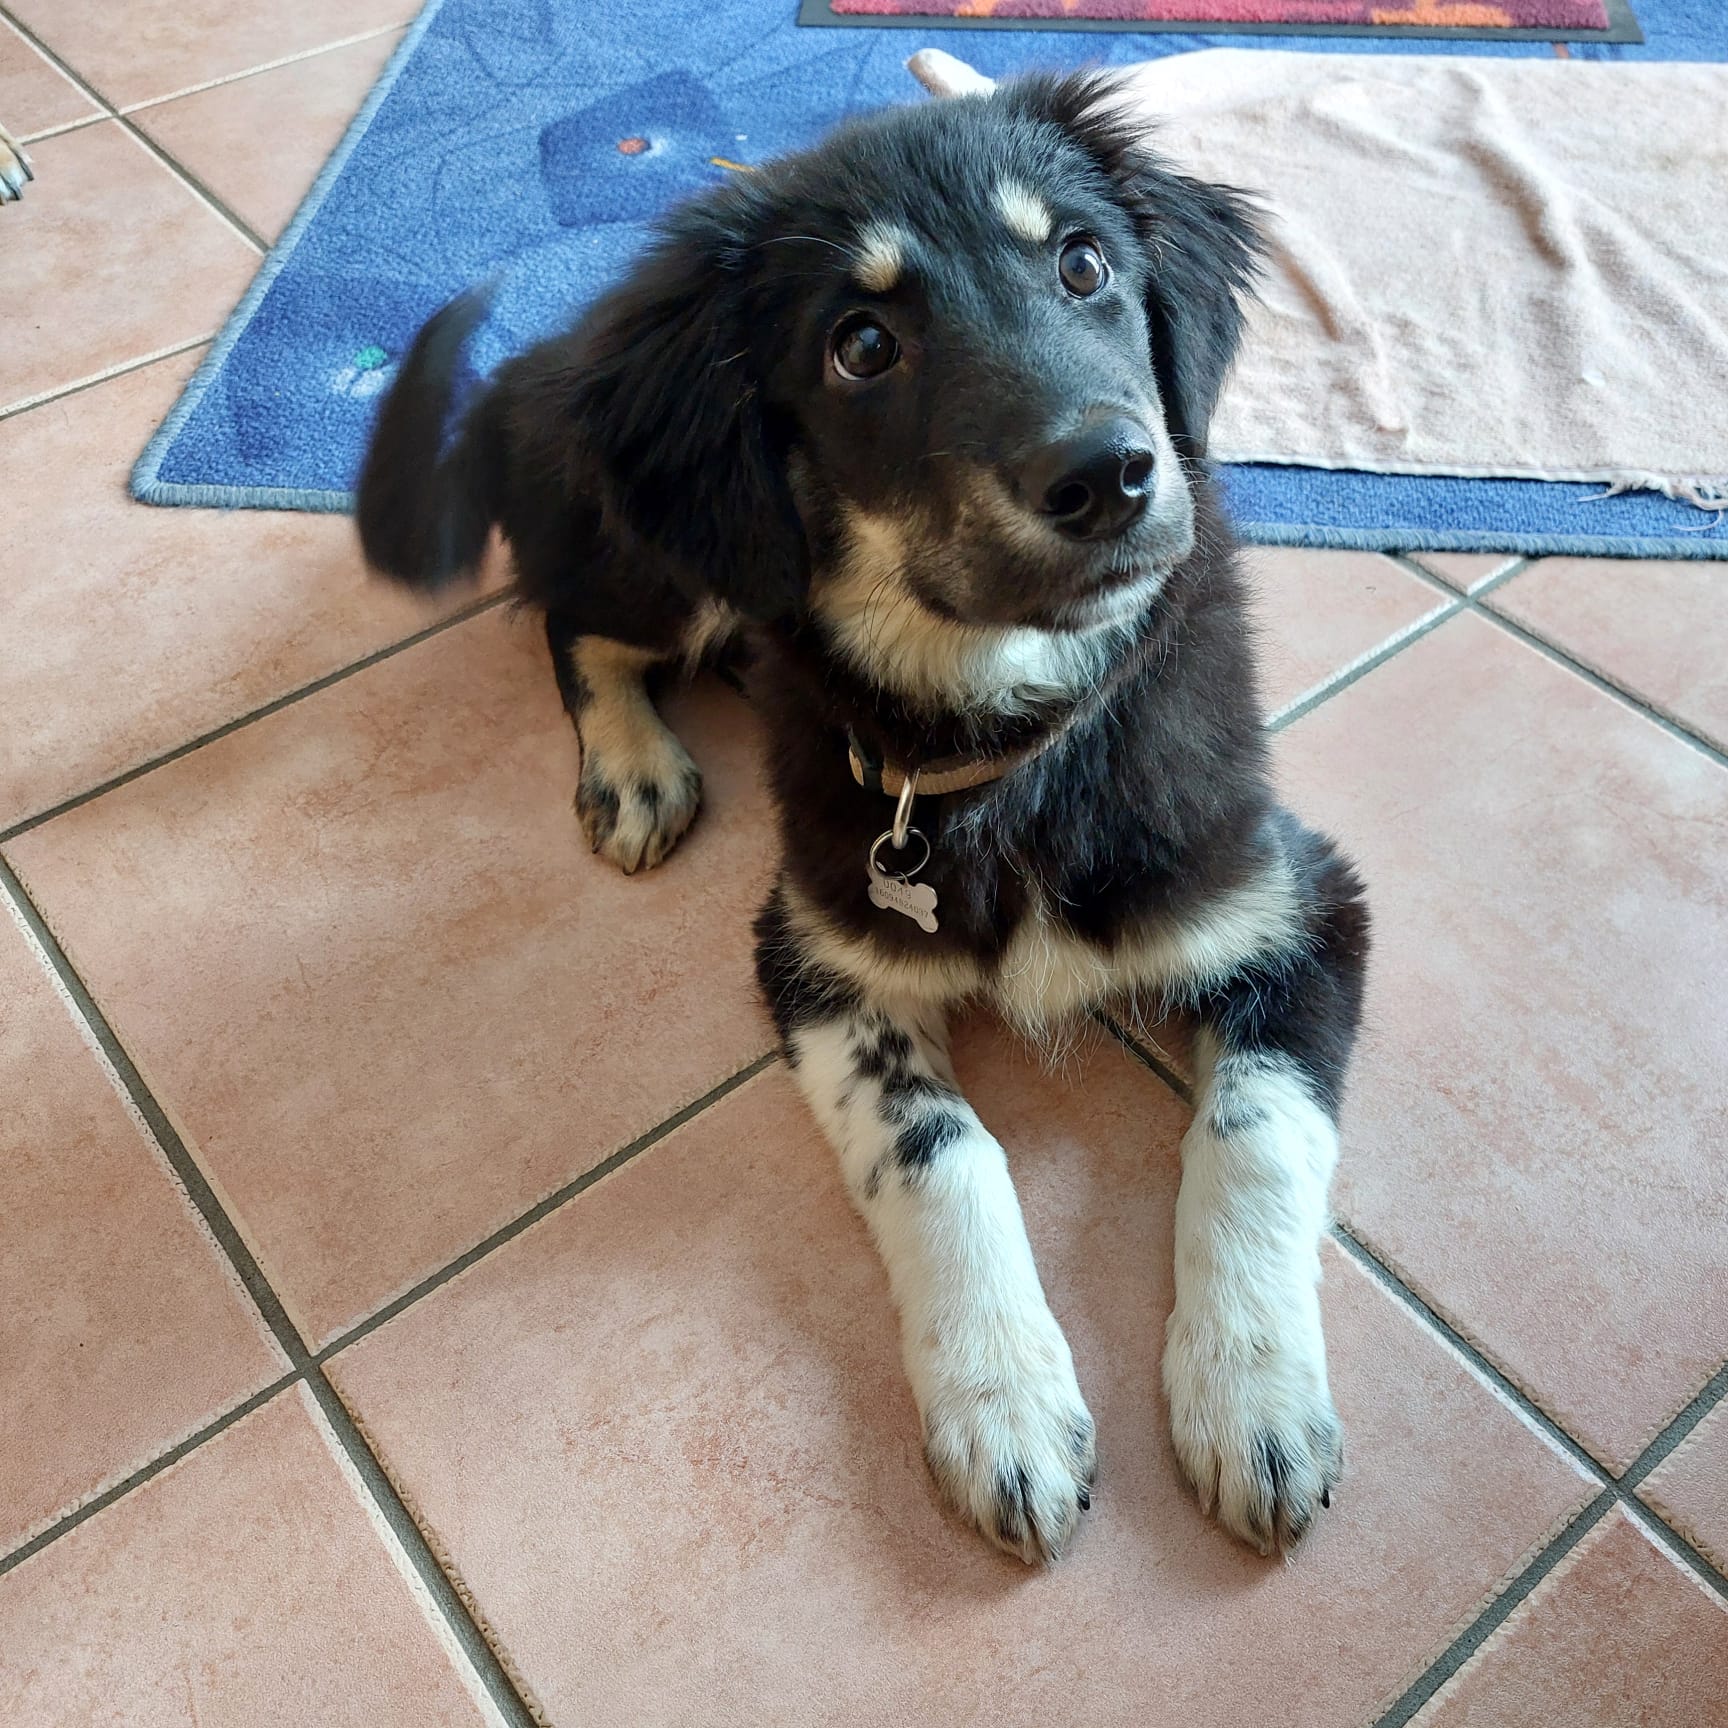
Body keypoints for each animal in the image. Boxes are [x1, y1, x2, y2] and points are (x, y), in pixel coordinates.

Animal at [357, 71, 1369, 1566]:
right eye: (863, 345)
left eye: (1082, 265)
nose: (1110, 474)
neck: (1006, 745)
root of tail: (540, 363)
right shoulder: (818, 957)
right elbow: (941, 1155)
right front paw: (1005, 1406)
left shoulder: (1297, 903)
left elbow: (1251, 1135)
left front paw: (1251, 1397)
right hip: (670, 561)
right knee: (570, 622)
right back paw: (634, 766)